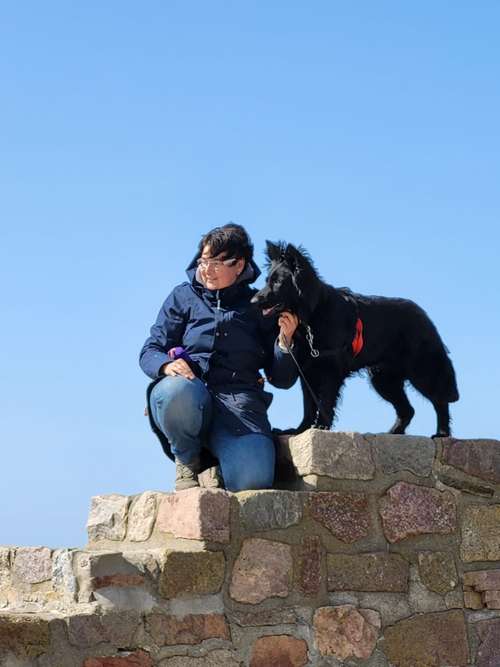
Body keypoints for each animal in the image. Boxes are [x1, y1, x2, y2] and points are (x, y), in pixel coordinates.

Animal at [252, 240, 458, 438]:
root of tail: (424, 315)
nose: (253, 301)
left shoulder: (330, 371)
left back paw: (442, 433)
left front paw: (321, 426)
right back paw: (394, 432)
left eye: (278, 282)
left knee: (440, 400)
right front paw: (300, 429)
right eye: (267, 280)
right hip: (382, 379)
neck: (313, 313)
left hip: (421, 371)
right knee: (408, 410)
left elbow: (324, 403)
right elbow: (309, 406)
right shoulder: (307, 372)